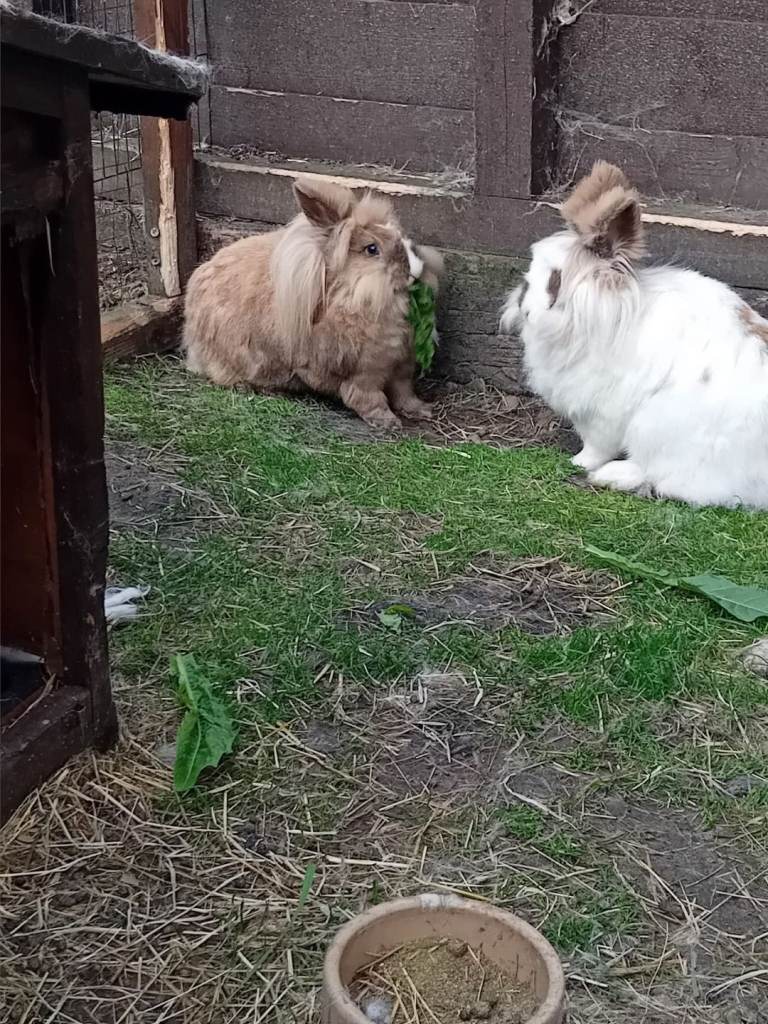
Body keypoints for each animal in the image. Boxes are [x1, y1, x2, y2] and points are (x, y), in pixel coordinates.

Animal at [182, 175, 443, 430]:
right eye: (372, 249)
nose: (415, 271)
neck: (348, 293)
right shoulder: (364, 372)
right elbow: (368, 398)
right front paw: (388, 423)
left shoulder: (401, 368)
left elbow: (404, 393)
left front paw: (422, 410)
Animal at [499, 161, 768, 509]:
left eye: (555, 281)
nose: (523, 306)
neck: (603, 318)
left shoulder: (601, 416)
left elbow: (595, 447)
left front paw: (577, 463)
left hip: (656, 429)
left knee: (672, 481)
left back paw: (612, 475)